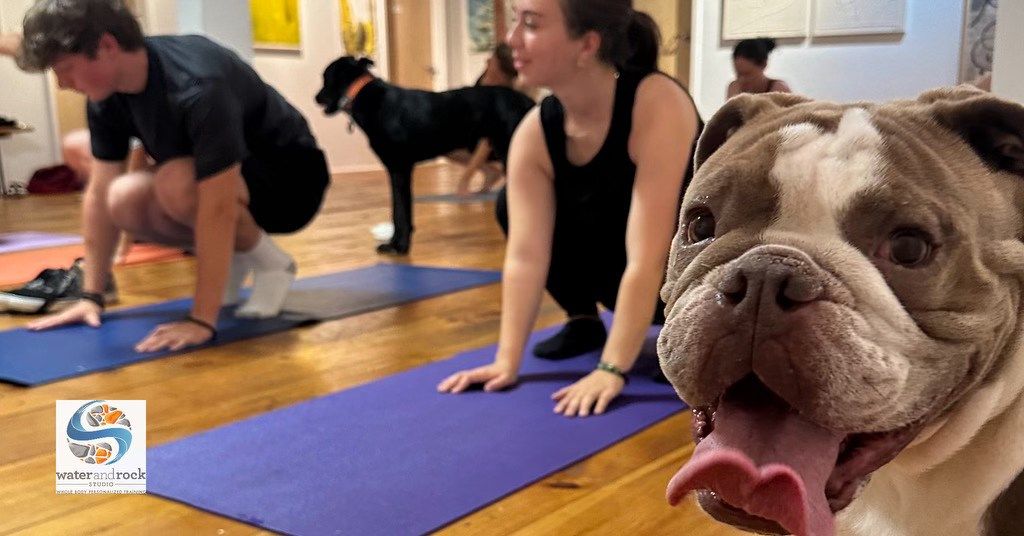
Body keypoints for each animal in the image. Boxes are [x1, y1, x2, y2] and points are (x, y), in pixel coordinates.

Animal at [313, 57, 536, 255]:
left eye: (325, 77)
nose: (316, 97)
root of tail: (527, 101)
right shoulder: (396, 170)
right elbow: (399, 210)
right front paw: (395, 242)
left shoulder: (400, 169)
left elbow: (401, 212)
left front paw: (400, 246)